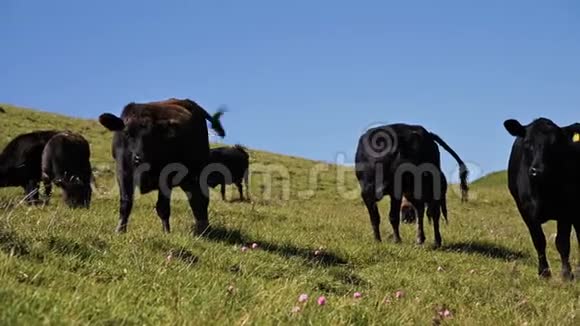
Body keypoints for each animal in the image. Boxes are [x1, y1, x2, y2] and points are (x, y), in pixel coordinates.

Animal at [98, 97, 225, 234]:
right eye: (127, 133)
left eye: (151, 136)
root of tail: (187, 102)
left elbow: (162, 207)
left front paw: (166, 232)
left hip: (198, 171)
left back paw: (203, 229)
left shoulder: (166, 176)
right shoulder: (123, 172)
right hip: (188, 179)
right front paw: (120, 230)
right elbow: (126, 202)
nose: (139, 157)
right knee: (195, 198)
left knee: (200, 200)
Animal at [502, 118, 580, 280]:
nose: (538, 170)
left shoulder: (566, 209)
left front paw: (566, 274)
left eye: (555, 144)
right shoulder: (525, 210)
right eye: (527, 143)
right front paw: (544, 272)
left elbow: (562, 242)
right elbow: (539, 240)